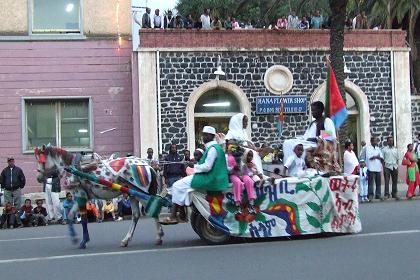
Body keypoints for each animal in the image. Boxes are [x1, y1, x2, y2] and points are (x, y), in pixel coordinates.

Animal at [33, 145, 165, 248]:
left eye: (42, 161)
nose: (38, 178)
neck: (72, 167)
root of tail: (147, 166)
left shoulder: (80, 195)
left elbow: (83, 219)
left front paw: (83, 241)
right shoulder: (80, 197)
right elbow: (70, 216)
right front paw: (75, 238)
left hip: (142, 194)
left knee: (153, 212)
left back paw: (159, 237)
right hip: (133, 194)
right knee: (136, 215)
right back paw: (126, 240)